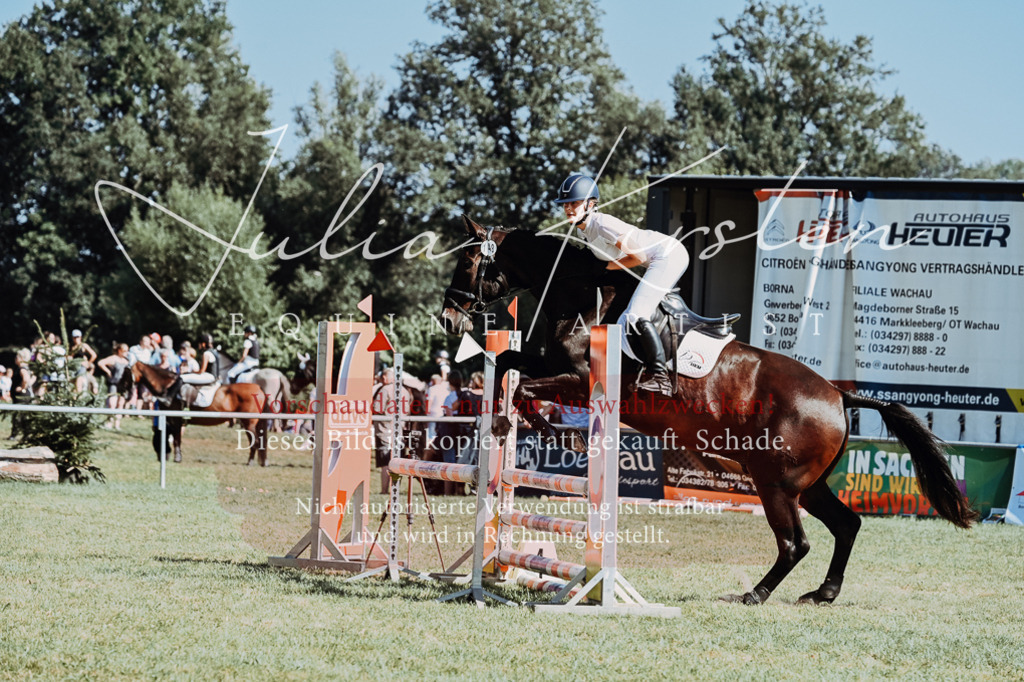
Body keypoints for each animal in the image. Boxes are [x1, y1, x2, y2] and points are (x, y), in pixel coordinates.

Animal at [119, 362, 269, 466]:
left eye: (126, 374)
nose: (122, 392)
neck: (168, 387)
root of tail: (258, 388)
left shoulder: (176, 420)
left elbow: (177, 439)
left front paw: (177, 458)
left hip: (249, 423)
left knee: (255, 442)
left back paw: (250, 462)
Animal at [440, 216, 977, 606]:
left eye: (468, 261)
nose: (447, 318)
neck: (582, 297)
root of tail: (839, 397)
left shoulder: (577, 380)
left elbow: (522, 384)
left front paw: (533, 426)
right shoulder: (554, 367)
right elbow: (509, 365)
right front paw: (533, 426)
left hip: (774, 483)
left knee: (795, 543)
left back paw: (754, 595)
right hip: (806, 483)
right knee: (846, 525)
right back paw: (822, 594)